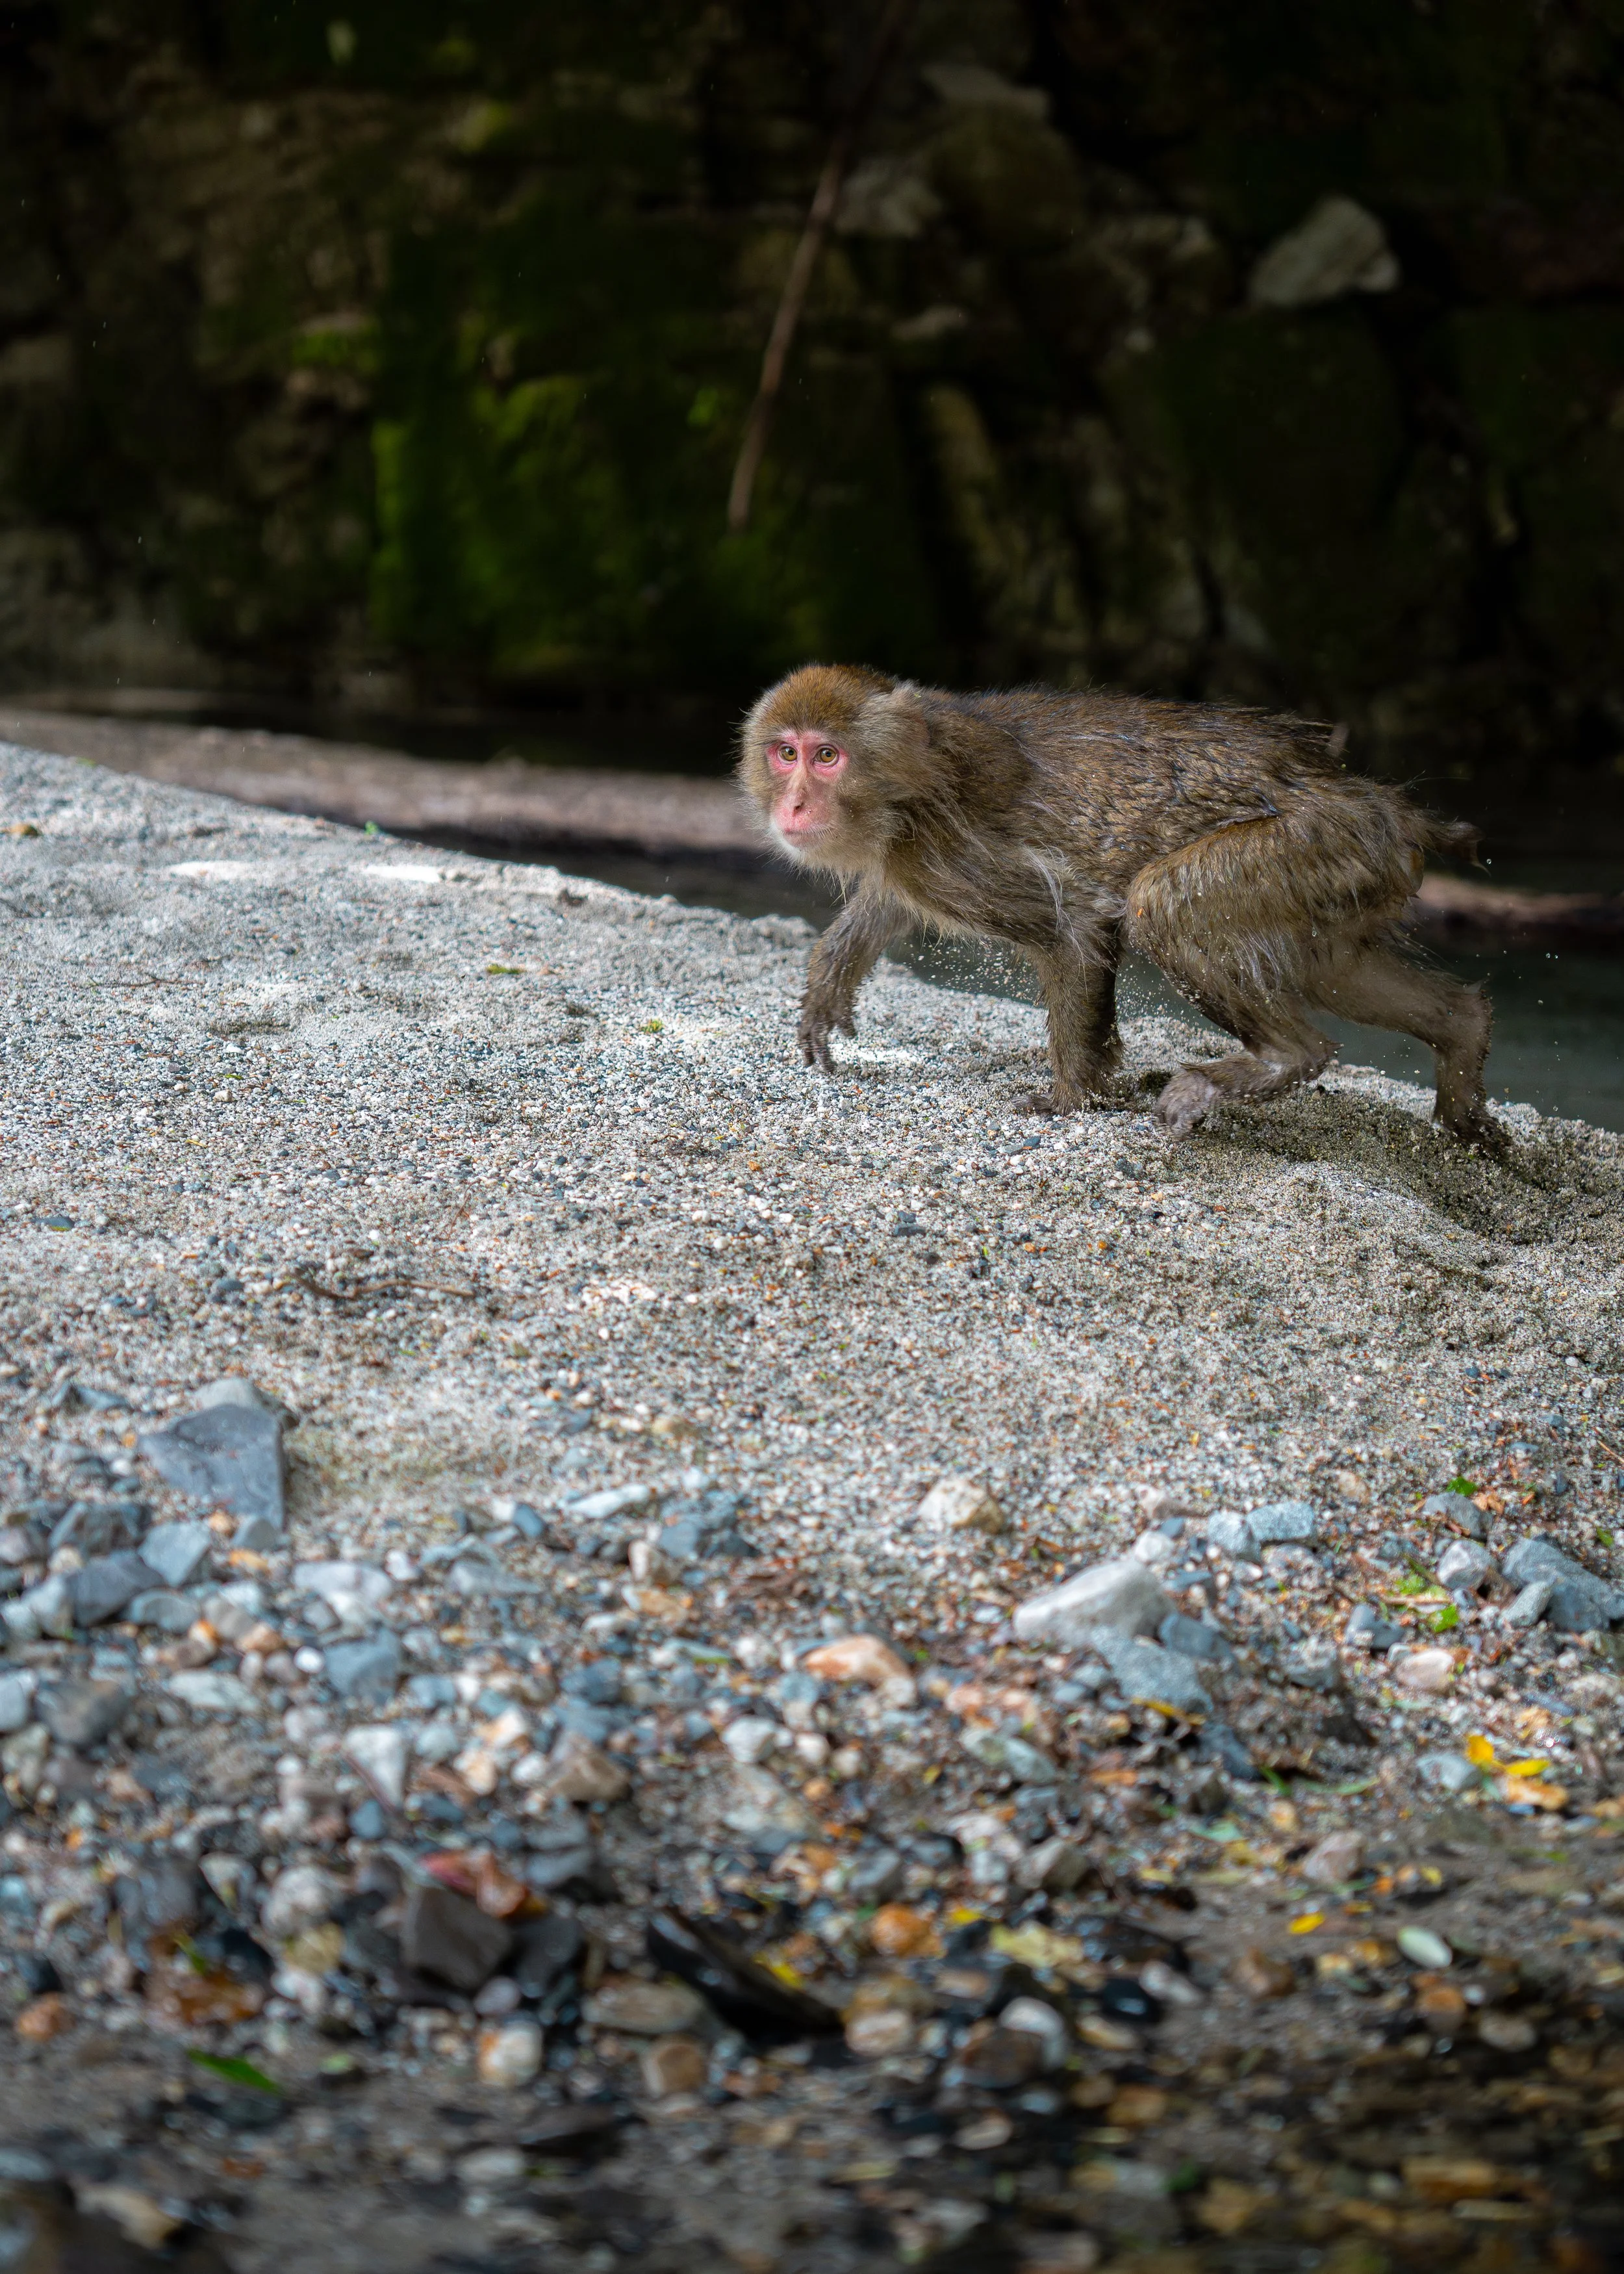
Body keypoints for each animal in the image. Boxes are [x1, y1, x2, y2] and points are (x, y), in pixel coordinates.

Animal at [737, 664, 1500, 1148]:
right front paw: (831, 975)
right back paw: (1461, 1043)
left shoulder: (945, 855)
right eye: (785, 755)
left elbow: (1074, 924)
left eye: (826, 756)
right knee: (1334, 965)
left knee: (1163, 901)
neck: (911, 779)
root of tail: (1376, 803)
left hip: (1311, 843)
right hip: (1350, 868)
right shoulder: (910, 865)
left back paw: (1285, 1055)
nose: (794, 804)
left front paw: (1072, 1098)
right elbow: (888, 907)